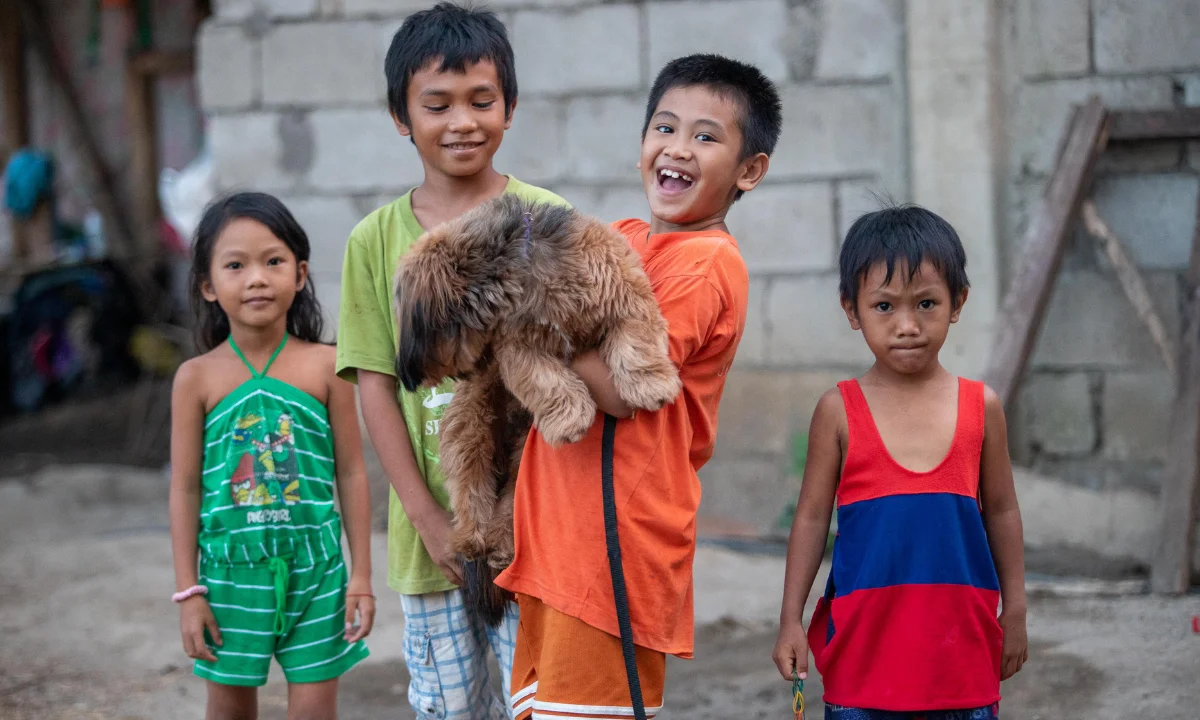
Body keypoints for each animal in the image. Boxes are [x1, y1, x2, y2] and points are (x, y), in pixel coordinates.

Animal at [391, 194, 681, 619]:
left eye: (413, 321)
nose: (403, 372)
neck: (522, 262)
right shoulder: (521, 347)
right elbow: (547, 380)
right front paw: (571, 420)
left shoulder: (623, 292)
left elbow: (636, 339)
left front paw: (651, 383)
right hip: (470, 427)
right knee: (471, 491)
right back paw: (472, 540)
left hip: (516, 465)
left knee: (507, 509)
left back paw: (500, 547)